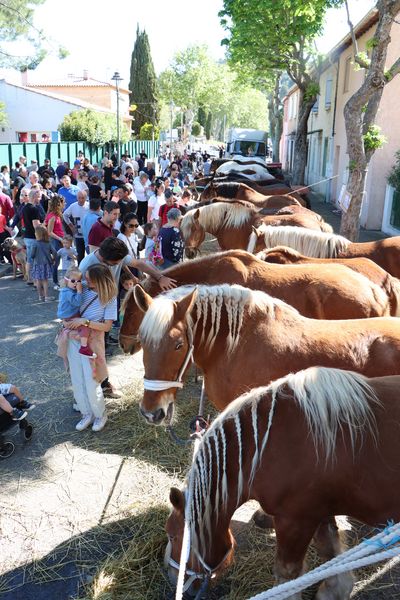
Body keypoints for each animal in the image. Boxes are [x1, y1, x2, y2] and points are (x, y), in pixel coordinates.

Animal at [165, 366, 400, 600]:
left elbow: (288, 574)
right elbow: (329, 550)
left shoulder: (294, 521)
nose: (173, 579)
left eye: (173, 535)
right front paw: (334, 589)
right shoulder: (319, 512)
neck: (265, 446)